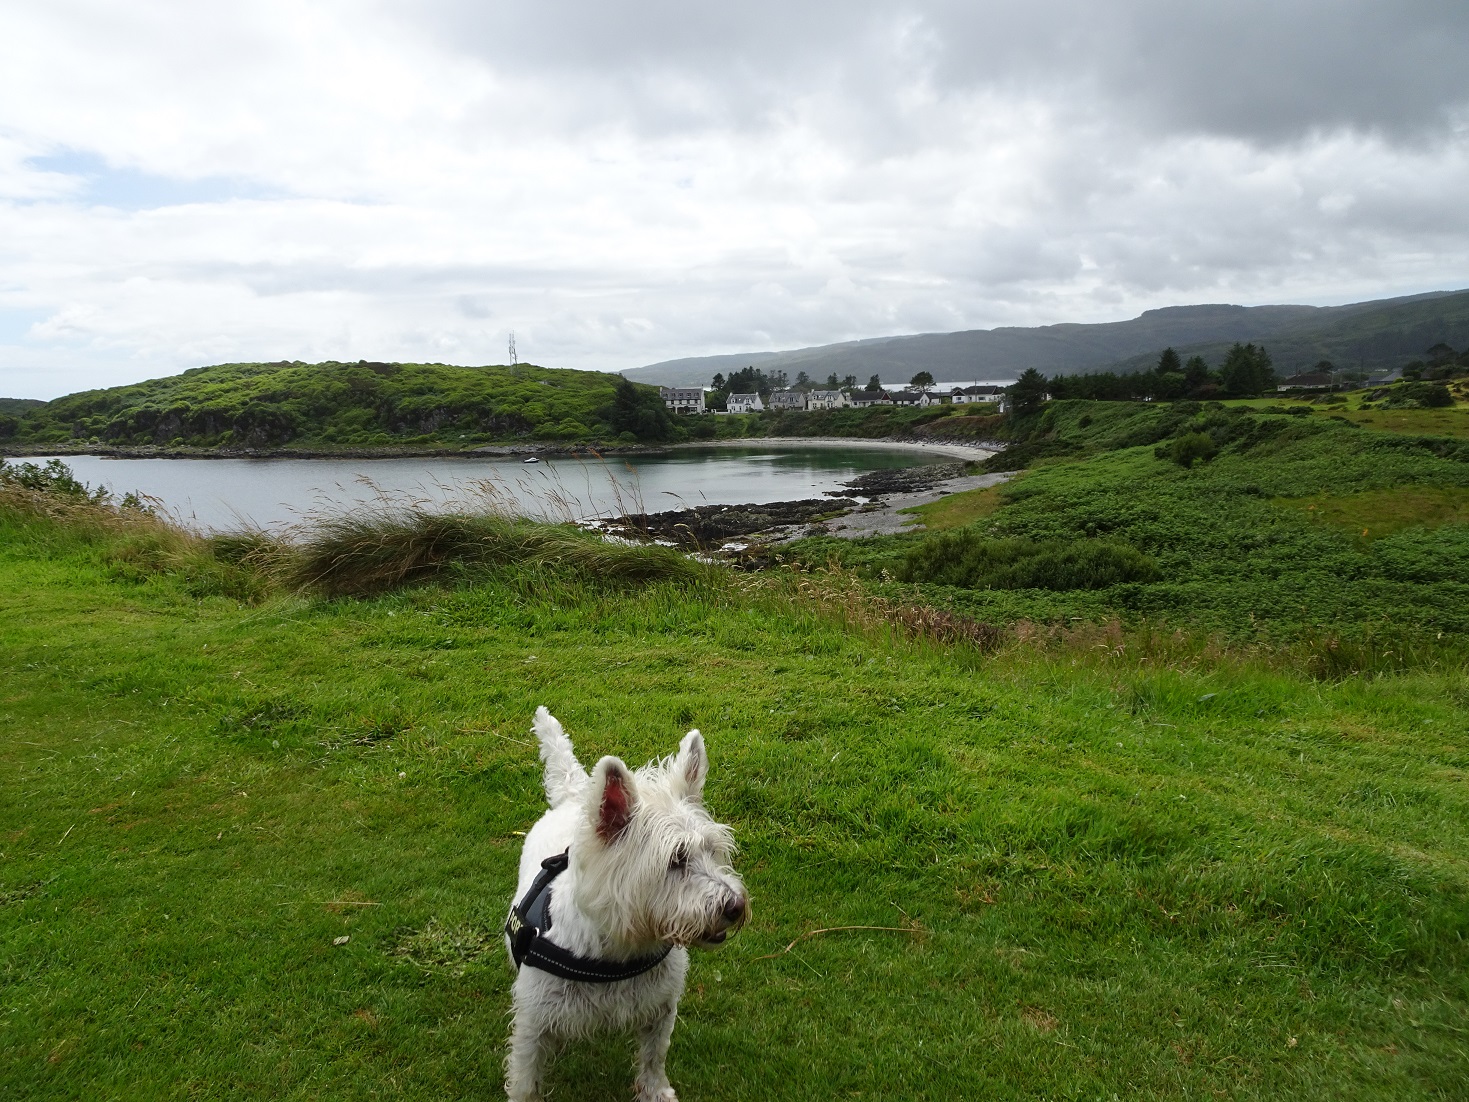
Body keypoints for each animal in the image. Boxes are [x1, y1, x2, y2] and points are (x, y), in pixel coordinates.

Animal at [511, 708, 752, 1102]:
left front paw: (656, 1091)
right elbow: (525, 1080)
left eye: (712, 850)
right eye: (675, 859)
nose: (734, 906)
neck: (619, 952)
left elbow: (655, 1056)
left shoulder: (661, 1007)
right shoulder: (533, 1023)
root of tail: (575, 798)